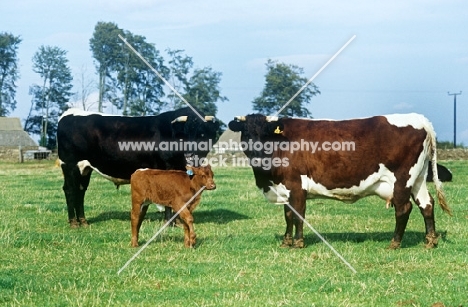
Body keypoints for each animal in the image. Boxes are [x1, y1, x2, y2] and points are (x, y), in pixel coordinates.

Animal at [57, 107, 218, 227]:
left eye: (202, 134)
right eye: (184, 134)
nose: (190, 154)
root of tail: (69, 113)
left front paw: (177, 221)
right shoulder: (166, 168)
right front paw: (170, 222)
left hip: (85, 169)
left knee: (80, 191)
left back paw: (83, 221)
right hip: (70, 165)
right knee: (70, 190)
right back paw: (74, 223)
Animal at [229, 113, 452, 250]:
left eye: (265, 134)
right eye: (246, 133)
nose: (257, 153)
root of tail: (419, 118)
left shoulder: (296, 185)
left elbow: (298, 215)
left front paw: (298, 243)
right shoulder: (285, 188)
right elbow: (288, 216)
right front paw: (286, 242)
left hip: (402, 179)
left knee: (404, 208)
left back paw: (395, 243)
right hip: (418, 178)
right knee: (427, 204)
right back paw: (430, 241)